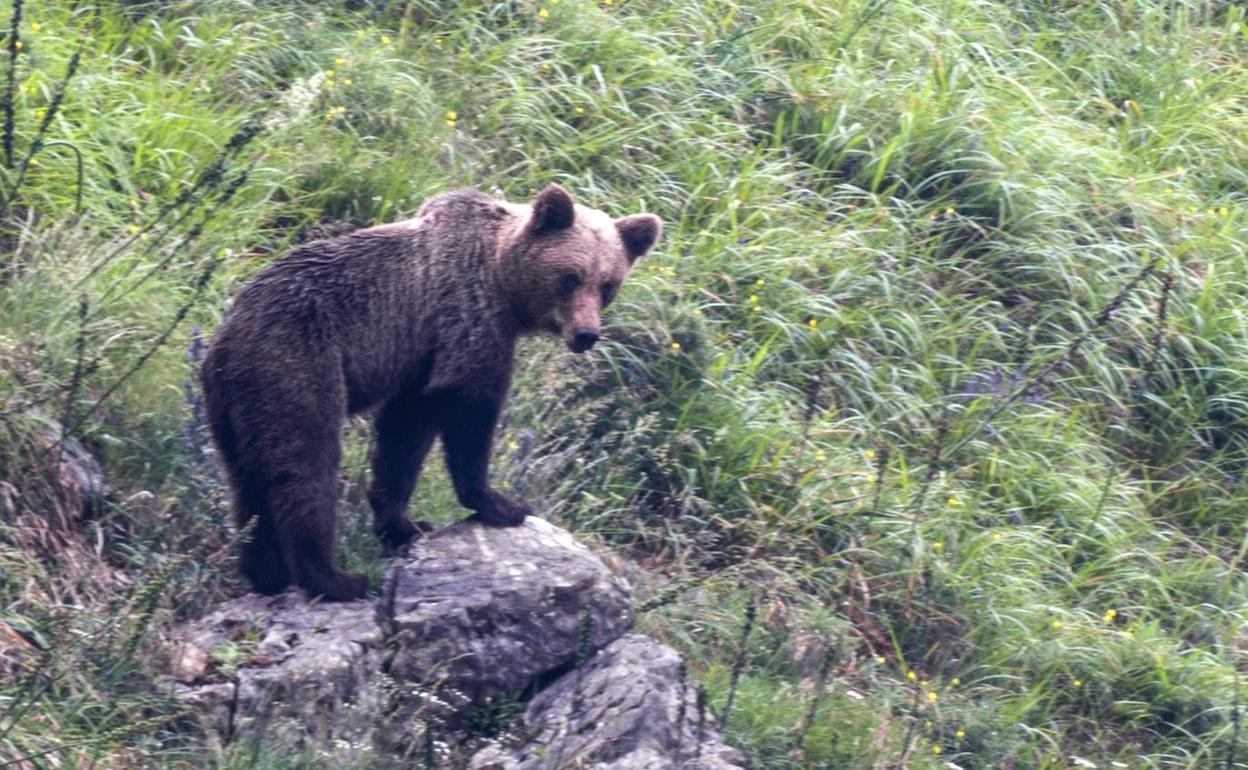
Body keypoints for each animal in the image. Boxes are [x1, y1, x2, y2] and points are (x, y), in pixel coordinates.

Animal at [199, 185, 663, 601]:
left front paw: (404, 523)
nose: (586, 334)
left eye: (608, 284)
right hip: (297, 365)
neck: (502, 279)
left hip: (236, 404)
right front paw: (501, 504)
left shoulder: (422, 356)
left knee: (247, 478)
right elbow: (469, 407)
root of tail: (224, 339)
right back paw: (334, 579)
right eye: (569, 277)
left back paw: (266, 572)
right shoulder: (468, 315)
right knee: (305, 465)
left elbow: (406, 431)